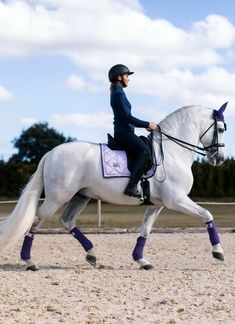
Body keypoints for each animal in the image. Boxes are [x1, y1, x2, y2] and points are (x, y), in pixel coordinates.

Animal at [0, 103, 228, 268]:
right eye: (221, 128)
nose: (220, 159)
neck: (172, 151)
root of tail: (51, 153)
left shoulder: (157, 205)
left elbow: (145, 231)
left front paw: (141, 260)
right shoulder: (176, 200)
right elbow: (207, 214)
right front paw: (218, 252)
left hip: (81, 196)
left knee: (67, 221)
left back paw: (91, 254)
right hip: (58, 197)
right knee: (37, 221)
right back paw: (29, 261)